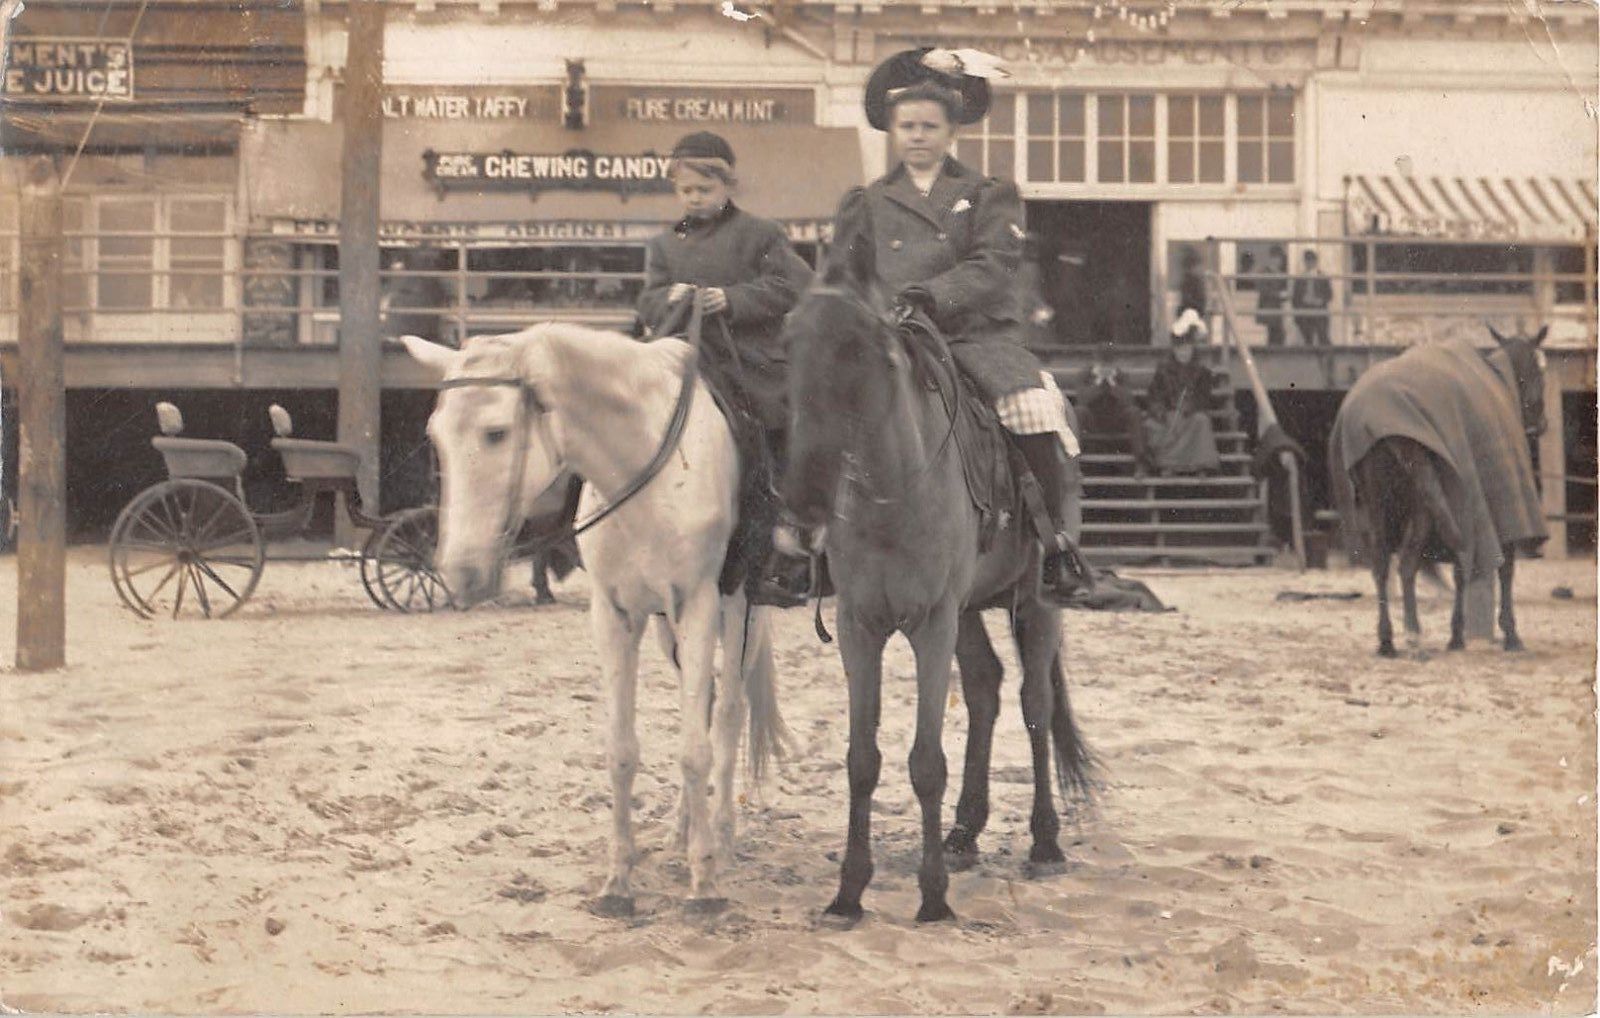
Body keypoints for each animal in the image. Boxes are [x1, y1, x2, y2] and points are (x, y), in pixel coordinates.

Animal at [403, 328, 790, 915]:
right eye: (435, 436)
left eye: (496, 433)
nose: (461, 574)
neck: (647, 469)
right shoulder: (614, 616)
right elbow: (622, 752)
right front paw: (619, 881)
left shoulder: (700, 605)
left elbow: (697, 750)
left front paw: (704, 882)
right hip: (668, 629)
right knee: (703, 708)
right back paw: (682, 832)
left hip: (741, 610)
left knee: (728, 714)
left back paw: (720, 837)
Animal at [777, 257, 1100, 928]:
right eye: (789, 342)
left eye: (860, 348)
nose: (804, 496)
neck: (893, 492)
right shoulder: (860, 628)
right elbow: (862, 759)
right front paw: (850, 892)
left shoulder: (930, 625)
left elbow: (926, 763)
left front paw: (931, 897)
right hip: (969, 612)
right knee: (984, 689)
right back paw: (963, 834)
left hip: (1035, 605)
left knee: (1035, 704)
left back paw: (1045, 842)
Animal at [1337, 328, 1548, 659]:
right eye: (1540, 373)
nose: (1541, 425)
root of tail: (1376, 420)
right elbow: (1503, 568)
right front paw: (1509, 634)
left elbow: (1463, 569)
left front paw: (1457, 635)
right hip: (1424, 503)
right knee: (1407, 563)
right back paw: (1412, 632)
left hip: (1378, 503)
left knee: (1381, 566)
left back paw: (1386, 640)